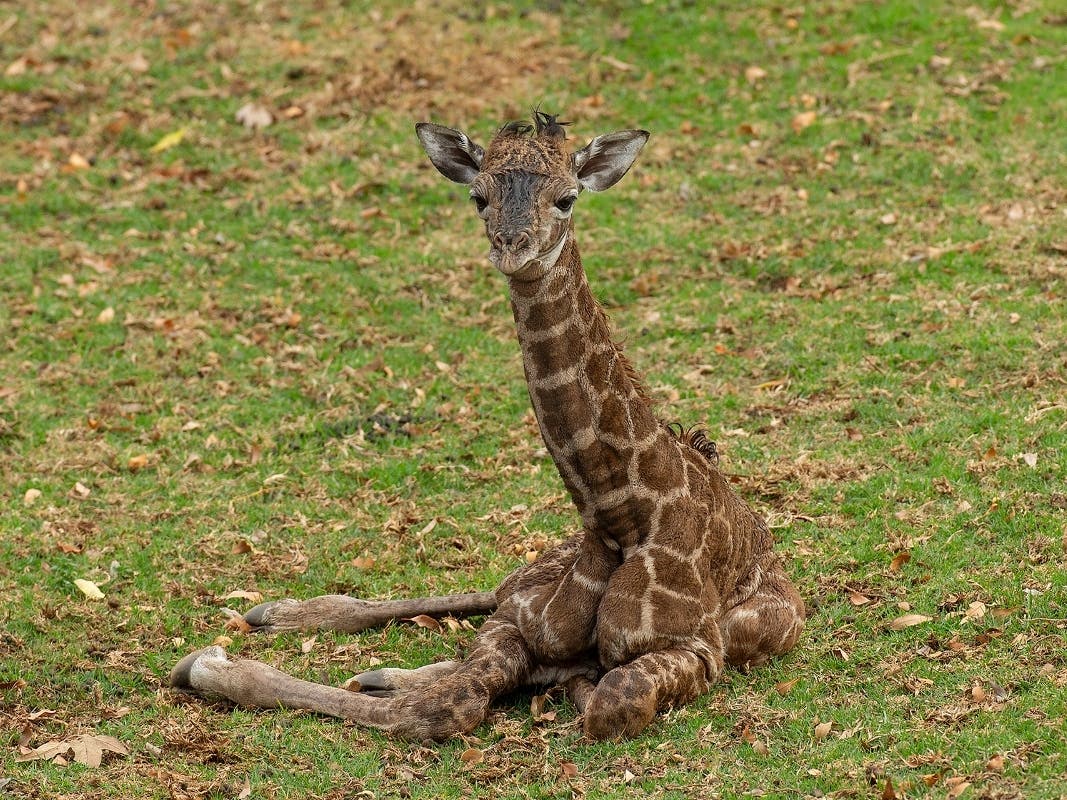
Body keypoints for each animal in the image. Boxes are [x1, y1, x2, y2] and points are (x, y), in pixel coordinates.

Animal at [170, 112, 805, 741]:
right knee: (486, 592)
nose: (512, 248)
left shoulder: (698, 649)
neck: (620, 516)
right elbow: (451, 698)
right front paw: (210, 662)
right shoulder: (521, 621)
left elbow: (605, 702)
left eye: (567, 198)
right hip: (536, 568)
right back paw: (281, 616)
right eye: (479, 197)